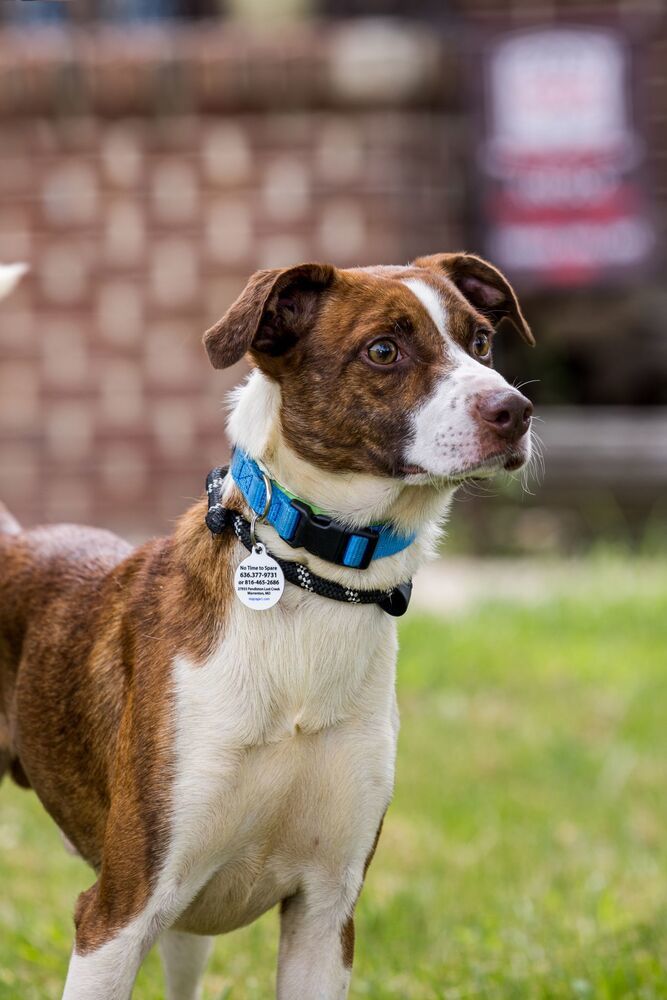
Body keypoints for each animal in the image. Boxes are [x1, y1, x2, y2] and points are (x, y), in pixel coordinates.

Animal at [0, 252, 534, 1000]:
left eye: (481, 341)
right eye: (383, 350)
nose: (514, 410)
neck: (318, 586)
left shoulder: (326, 913)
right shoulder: (118, 912)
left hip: (188, 931)